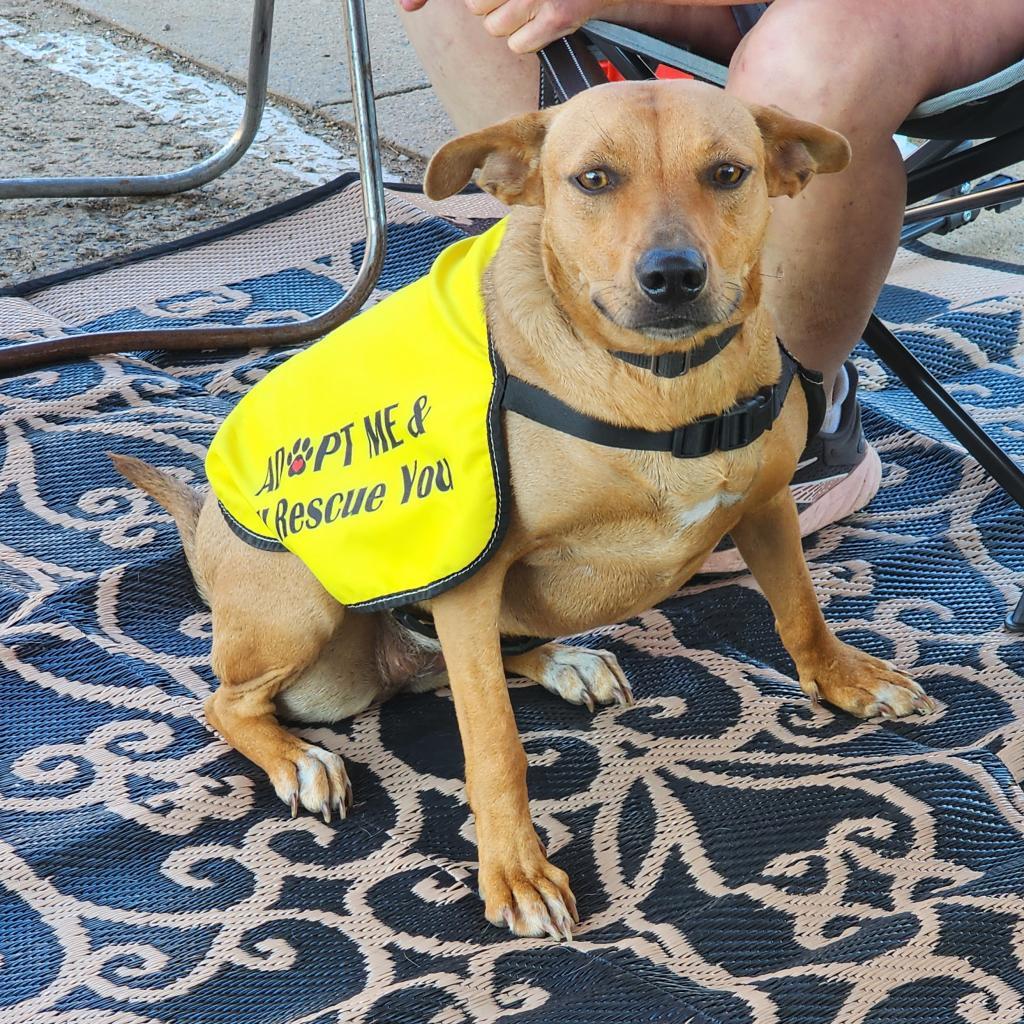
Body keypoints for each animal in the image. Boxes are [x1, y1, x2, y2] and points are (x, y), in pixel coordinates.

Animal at [108, 81, 933, 942]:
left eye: (728, 173)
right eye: (594, 179)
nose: (673, 275)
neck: (660, 385)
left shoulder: (767, 503)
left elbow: (801, 612)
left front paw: (844, 680)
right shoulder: (469, 578)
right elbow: (493, 741)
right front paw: (516, 871)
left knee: (466, 658)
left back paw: (562, 660)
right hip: (301, 613)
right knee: (228, 701)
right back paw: (297, 758)